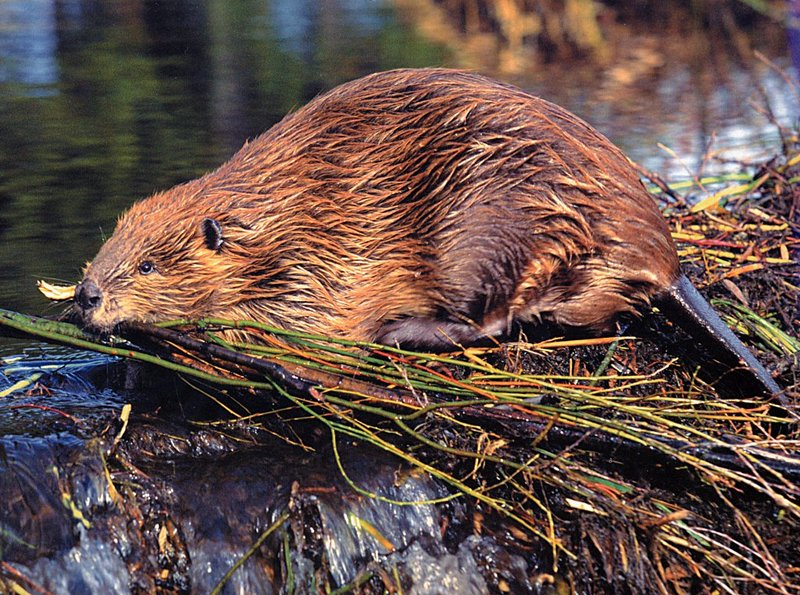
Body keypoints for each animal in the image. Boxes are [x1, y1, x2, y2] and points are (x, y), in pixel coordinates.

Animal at [73, 67, 780, 398]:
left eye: (147, 266)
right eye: (110, 251)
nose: (85, 295)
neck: (279, 212)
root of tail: (668, 262)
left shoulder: (328, 264)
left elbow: (310, 328)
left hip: (488, 229)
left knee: (495, 320)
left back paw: (407, 331)